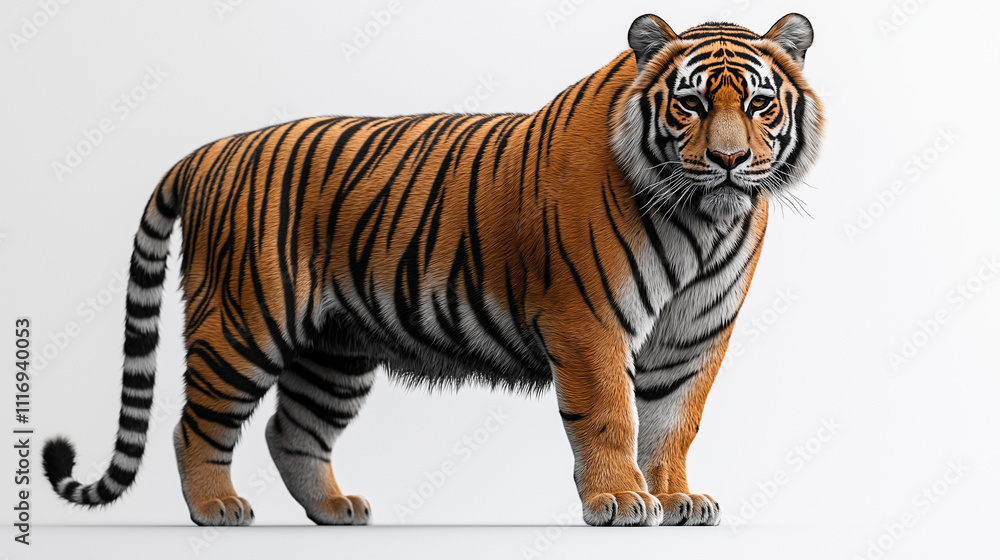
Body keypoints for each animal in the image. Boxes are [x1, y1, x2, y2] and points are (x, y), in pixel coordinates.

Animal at [42, 13, 823, 527]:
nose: (729, 160)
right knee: (195, 425)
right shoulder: (589, 320)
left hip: (335, 349)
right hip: (241, 323)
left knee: (291, 431)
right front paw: (620, 500)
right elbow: (609, 415)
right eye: (689, 104)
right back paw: (218, 509)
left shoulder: (695, 335)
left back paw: (336, 510)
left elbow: (673, 421)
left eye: (760, 104)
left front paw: (676, 497)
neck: (704, 220)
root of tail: (205, 152)